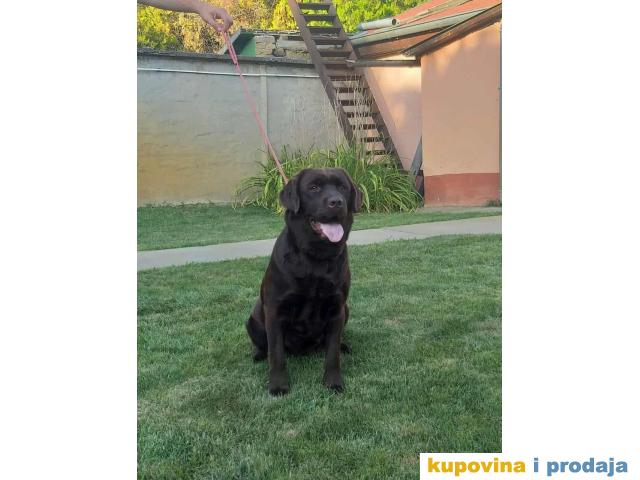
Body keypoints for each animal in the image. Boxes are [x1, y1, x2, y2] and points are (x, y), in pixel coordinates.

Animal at [246, 167, 362, 395]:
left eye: (342, 187)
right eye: (314, 187)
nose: (337, 202)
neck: (315, 257)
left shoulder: (337, 308)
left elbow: (332, 353)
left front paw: (333, 381)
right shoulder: (275, 310)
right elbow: (277, 354)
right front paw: (278, 385)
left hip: (347, 309)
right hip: (253, 319)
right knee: (265, 345)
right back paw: (258, 354)